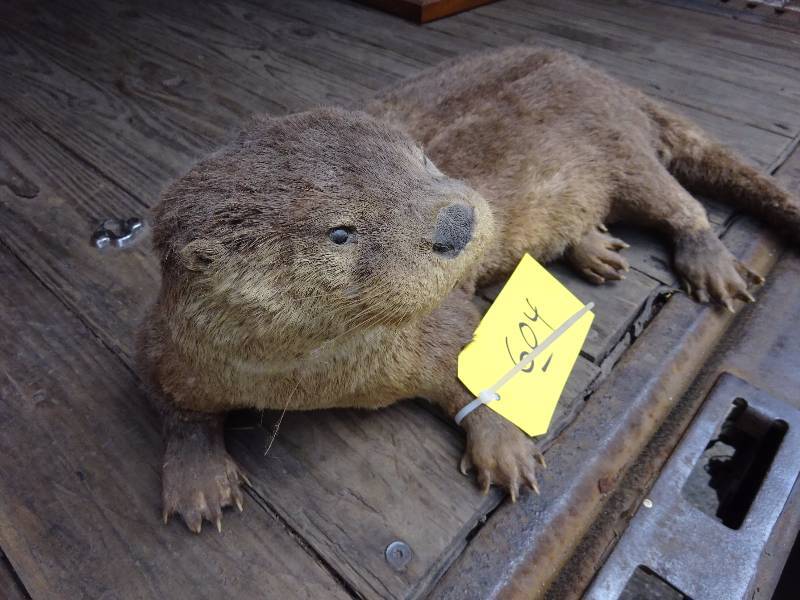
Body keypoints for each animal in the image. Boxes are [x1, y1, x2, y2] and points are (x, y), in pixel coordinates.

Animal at [139, 46, 799, 532]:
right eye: (340, 231)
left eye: (423, 161)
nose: (456, 220)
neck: (324, 383)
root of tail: (598, 74)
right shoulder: (173, 343)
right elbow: (169, 401)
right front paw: (198, 479)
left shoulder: (442, 323)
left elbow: (480, 365)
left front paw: (506, 449)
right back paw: (594, 250)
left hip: (623, 150)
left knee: (680, 202)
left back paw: (711, 265)